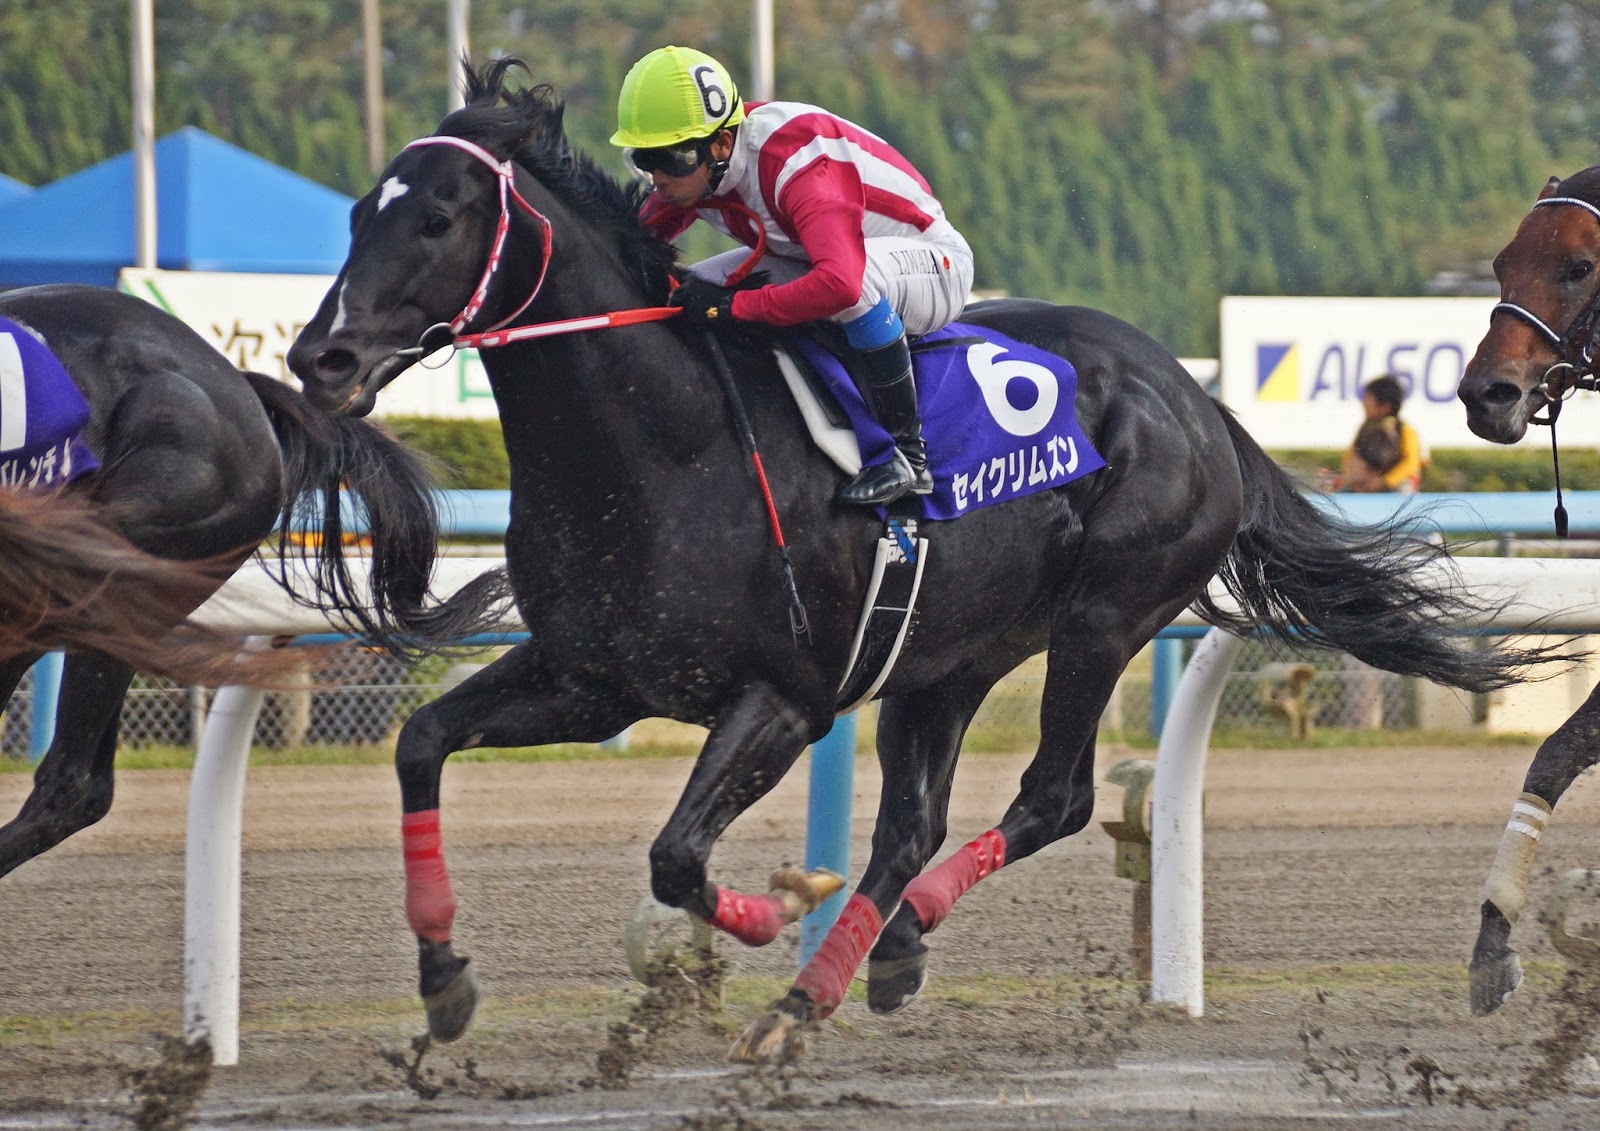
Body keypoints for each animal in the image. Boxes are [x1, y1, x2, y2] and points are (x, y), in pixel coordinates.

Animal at [289, 58, 1543, 1062]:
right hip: (946, 658)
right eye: (355, 213)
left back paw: (889, 941)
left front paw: (769, 907)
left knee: (1052, 797)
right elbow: (420, 742)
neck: (661, 441)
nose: (321, 357)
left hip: (1101, 618)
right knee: (911, 827)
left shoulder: (784, 696)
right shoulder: (591, 678)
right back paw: (829, 985)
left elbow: (676, 856)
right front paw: (444, 982)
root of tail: (1195, 401)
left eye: (441, 218)